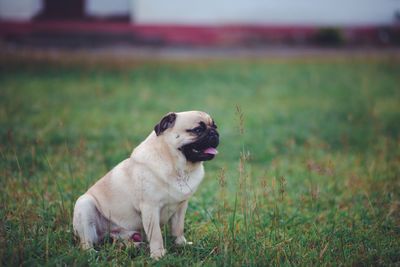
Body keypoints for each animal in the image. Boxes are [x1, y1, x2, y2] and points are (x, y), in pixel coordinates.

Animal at [73, 110, 220, 260]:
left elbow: (178, 228)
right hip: (84, 206)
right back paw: (92, 253)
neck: (179, 168)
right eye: (198, 130)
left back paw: (136, 246)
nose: (214, 133)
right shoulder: (150, 208)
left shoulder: (181, 206)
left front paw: (181, 244)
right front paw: (158, 255)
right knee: (86, 242)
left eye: (215, 126)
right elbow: (156, 235)